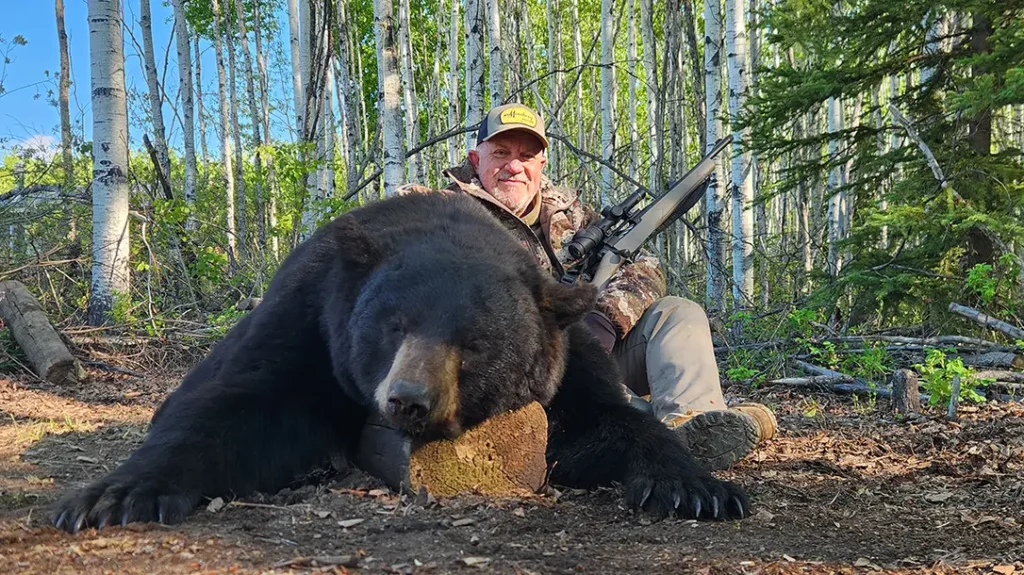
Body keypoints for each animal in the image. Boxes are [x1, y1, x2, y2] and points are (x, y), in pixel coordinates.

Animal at [51, 192, 749, 533]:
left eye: (475, 342)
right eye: (395, 325)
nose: (407, 399)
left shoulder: (564, 350)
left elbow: (605, 423)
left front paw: (697, 488)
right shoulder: (311, 320)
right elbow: (230, 406)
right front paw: (113, 495)